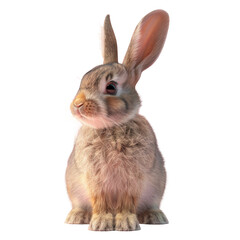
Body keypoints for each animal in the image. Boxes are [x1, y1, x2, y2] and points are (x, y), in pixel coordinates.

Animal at [64, 9, 170, 231]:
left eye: (111, 87)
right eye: (83, 80)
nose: (77, 104)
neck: (111, 126)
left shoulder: (132, 177)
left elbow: (126, 202)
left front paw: (125, 223)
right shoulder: (94, 177)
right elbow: (100, 201)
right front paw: (102, 222)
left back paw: (155, 216)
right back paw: (77, 216)